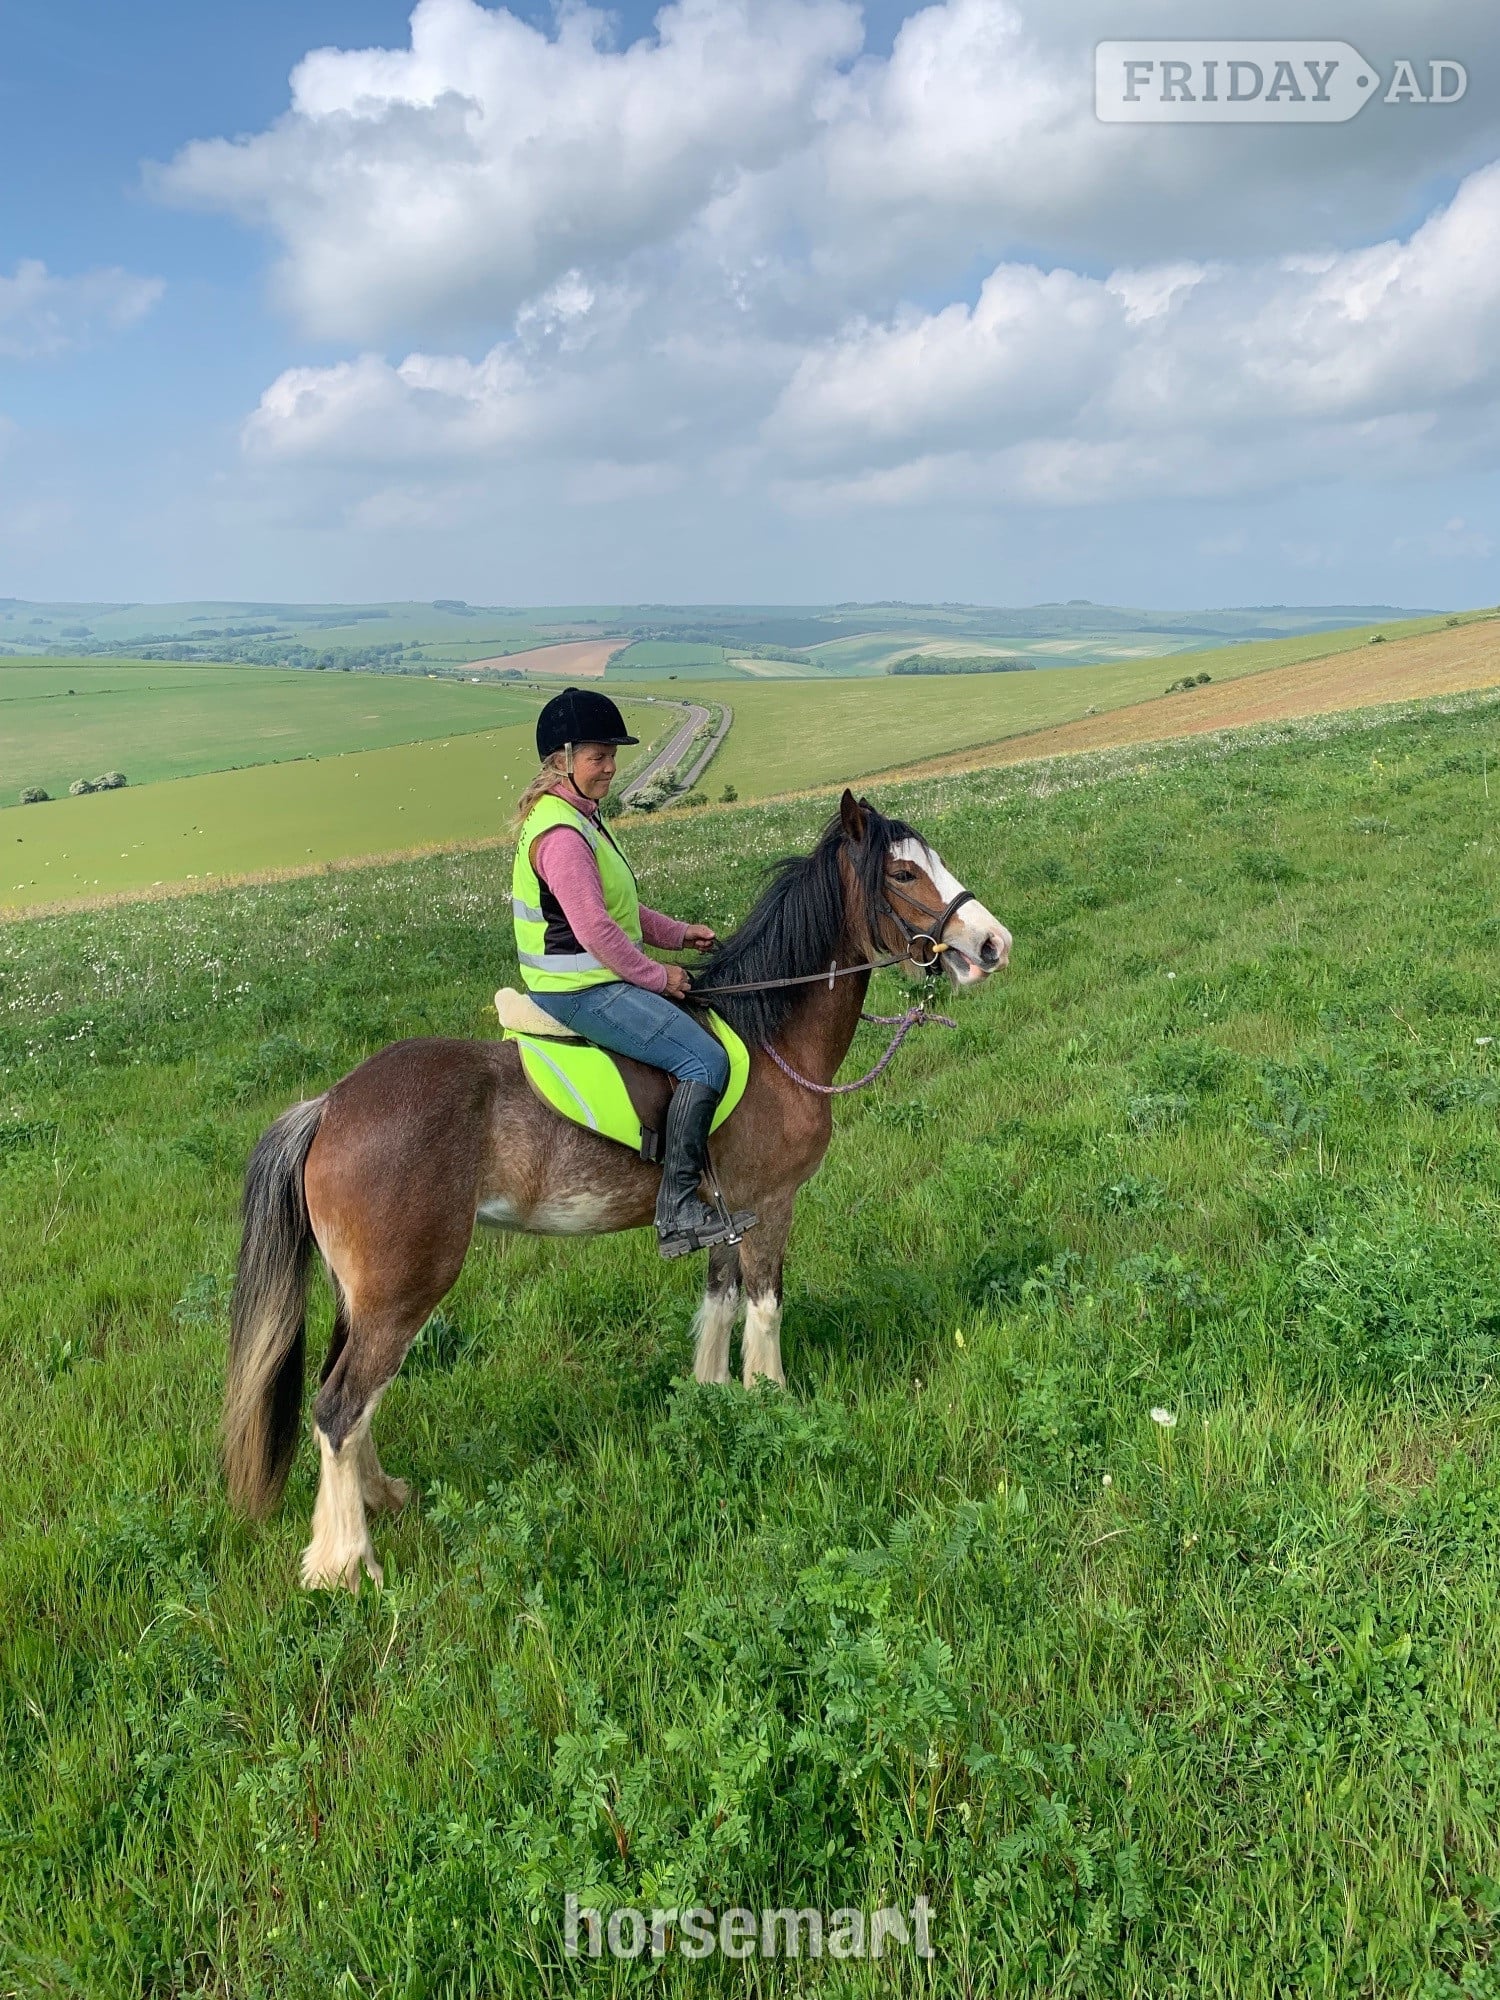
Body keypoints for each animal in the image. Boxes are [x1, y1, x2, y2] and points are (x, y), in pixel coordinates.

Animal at [222, 790, 1011, 1590]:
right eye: (904, 872)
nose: (991, 945)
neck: (770, 1038)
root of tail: (328, 1106)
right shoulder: (770, 1203)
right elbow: (764, 1307)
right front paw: (773, 1405)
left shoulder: (721, 1211)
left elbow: (719, 1301)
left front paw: (712, 1399)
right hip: (403, 1288)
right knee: (339, 1407)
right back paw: (347, 1565)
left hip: (363, 1295)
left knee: (350, 1399)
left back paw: (382, 1497)